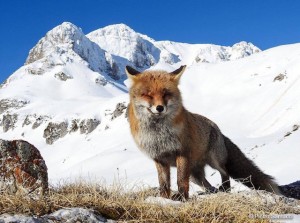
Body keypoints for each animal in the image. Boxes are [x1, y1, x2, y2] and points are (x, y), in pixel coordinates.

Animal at [124, 64, 282, 200]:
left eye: (166, 94)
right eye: (147, 95)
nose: (160, 108)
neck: (158, 135)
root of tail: (218, 129)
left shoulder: (182, 153)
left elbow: (181, 181)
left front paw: (182, 198)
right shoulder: (160, 159)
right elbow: (164, 184)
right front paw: (163, 199)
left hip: (213, 160)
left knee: (225, 172)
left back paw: (225, 189)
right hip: (195, 175)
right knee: (208, 184)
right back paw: (211, 192)